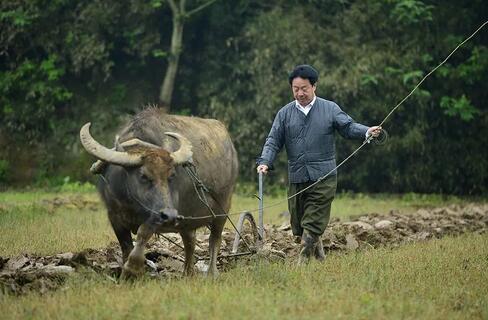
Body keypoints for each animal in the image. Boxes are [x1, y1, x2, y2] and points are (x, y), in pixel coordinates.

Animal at [79, 108, 238, 278]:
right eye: (143, 176)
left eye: (171, 176)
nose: (169, 215)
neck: (132, 203)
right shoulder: (114, 216)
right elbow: (126, 246)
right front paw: (127, 274)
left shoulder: (156, 216)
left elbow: (142, 234)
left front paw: (132, 269)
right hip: (187, 218)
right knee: (190, 241)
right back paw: (187, 273)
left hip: (222, 209)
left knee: (214, 240)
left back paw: (211, 273)